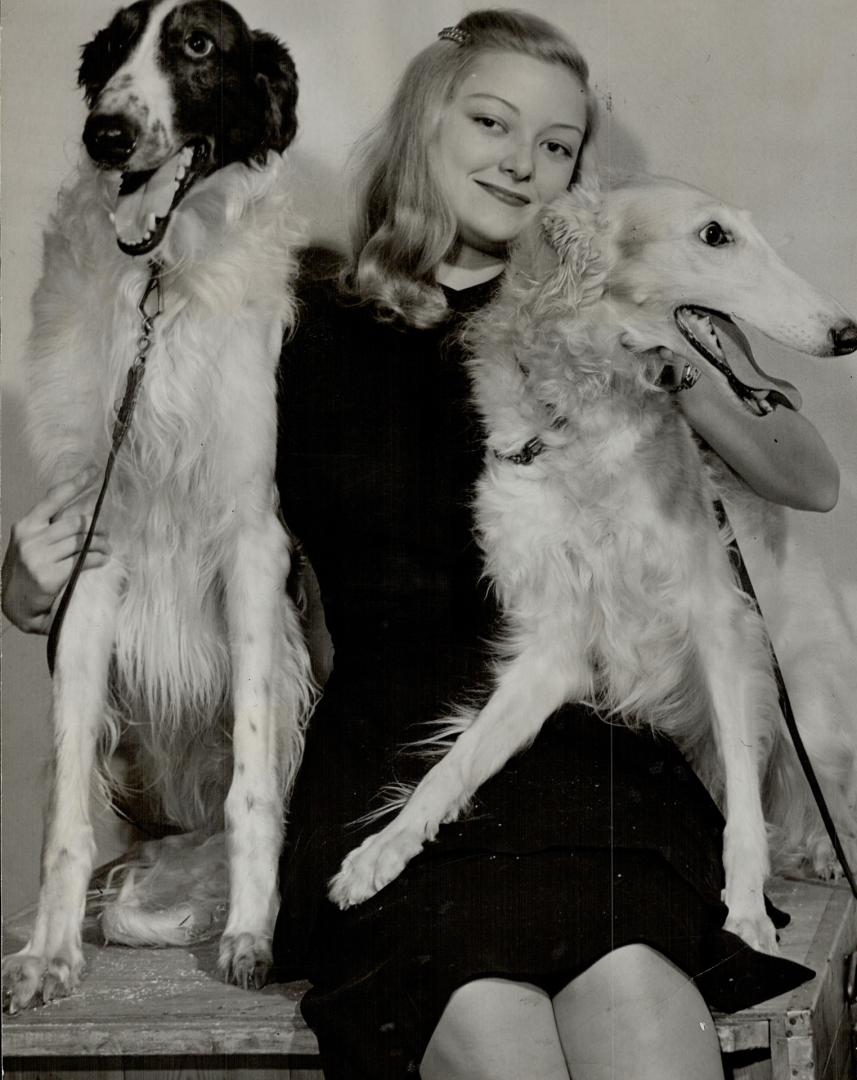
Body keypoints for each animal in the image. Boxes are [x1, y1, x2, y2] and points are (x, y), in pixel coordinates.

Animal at [328, 179, 854, 954]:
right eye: (714, 236)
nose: (846, 332)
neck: (584, 416)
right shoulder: (553, 647)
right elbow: (456, 763)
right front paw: (382, 852)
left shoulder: (722, 622)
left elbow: (744, 805)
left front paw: (749, 916)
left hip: (806, 708)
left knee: (824, 797)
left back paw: (822, 853)